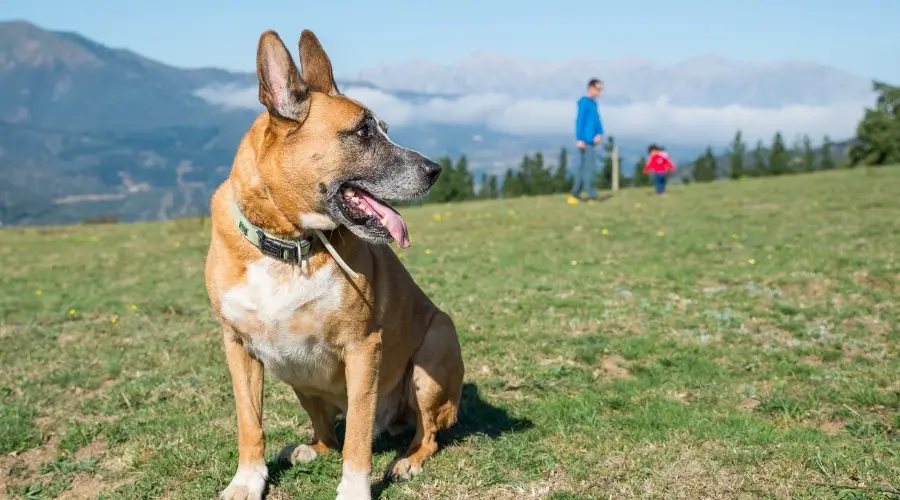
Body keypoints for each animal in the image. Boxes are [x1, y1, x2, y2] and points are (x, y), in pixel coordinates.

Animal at [206, 29, 464, 498]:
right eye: (362, 131)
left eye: (385, 129)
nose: (435, 169)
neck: (290, 245)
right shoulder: (237, 347)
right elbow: (249, 422)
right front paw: (248, 480)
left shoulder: (364, 347)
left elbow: (358, 434)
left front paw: (355, 489)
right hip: (296, 374)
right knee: (327, 431)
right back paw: (310, 448)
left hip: (435, 349)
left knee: (427, 432)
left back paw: (408, 460)